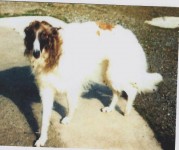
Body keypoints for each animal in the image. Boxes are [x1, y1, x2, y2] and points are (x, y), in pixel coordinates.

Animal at [23, 20, 163, 146]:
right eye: (32, 36)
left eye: (44, 36)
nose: (36, 53)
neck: (54, 50)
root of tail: (132, 36)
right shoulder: (46, 89)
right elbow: (44, 119)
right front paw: (42, 139)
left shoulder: (72, 85)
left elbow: (71, 105)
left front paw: (68, 119)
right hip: (108, 74)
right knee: (117, 92)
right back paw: (110, 108)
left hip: (115, 74)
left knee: (131, 90)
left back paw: (127, 111)